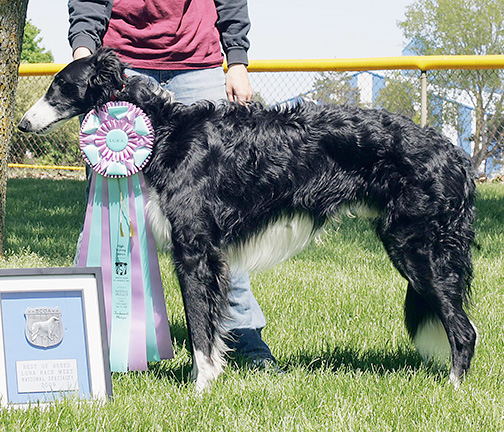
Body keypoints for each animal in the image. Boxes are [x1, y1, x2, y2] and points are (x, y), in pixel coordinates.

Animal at [18, 49, 476, 390]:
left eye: (59, 87)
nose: (22, 123)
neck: (164, 130)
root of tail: (454, 153)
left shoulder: (194, 249)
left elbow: (200, 328)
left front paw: (201, 388)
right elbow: (210, 324)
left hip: (418, 248)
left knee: (465, 330)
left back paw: (452, 390)